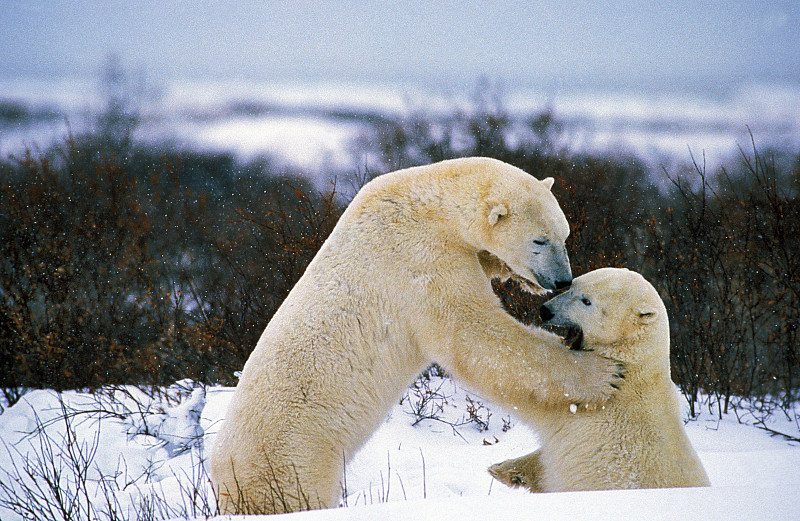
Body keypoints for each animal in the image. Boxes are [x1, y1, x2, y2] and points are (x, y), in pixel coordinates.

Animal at [208, 157, 624, 512]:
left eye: (564, 234)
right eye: (539, 241)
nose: (561, 280)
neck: (430, 200)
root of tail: (220, 473)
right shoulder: (421, 258)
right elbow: (474, 333)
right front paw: (605, 375)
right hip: (293, 457)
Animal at [488, 268, 708, 492]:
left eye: (586, 301)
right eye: (572, 286)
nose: (545, 310)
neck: (630, 366)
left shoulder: (586, 404)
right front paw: (504, 470)